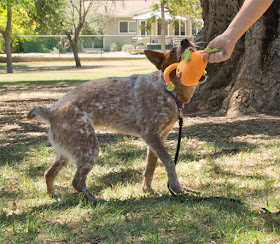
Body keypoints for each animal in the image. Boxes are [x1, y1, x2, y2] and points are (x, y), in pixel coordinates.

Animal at [27, 38, 206, 204]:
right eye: (172, 52)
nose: (185, 40)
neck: (168, 89)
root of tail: (52, 110)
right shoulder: (150, 134)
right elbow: (169, 161)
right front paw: (175, 185)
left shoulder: (158, 138)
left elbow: (150, 166)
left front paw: (147, 189)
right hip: (89, 147)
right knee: (77, 181)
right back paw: (96, 200)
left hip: (66, 152)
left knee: (49, 173)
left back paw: (53, 195)